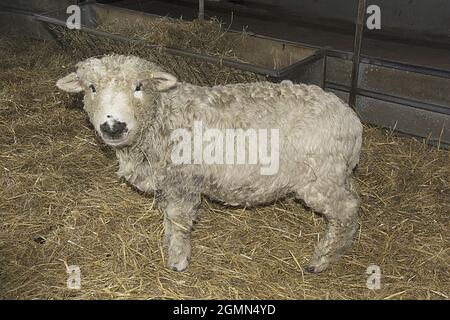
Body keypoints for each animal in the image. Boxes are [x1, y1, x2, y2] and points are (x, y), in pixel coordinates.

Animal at [55, 54, 362, 272]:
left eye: (139, 86)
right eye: (92, 88)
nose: (114, 126)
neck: (161, 116)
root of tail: (352, 121)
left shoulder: (183, 182)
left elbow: (179, 221)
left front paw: (177, 260)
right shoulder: (168, 183)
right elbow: (169, 220)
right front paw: (168, 244)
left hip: (319, 177)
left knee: (347, 210)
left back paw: (322, 260)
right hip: (334, 175)